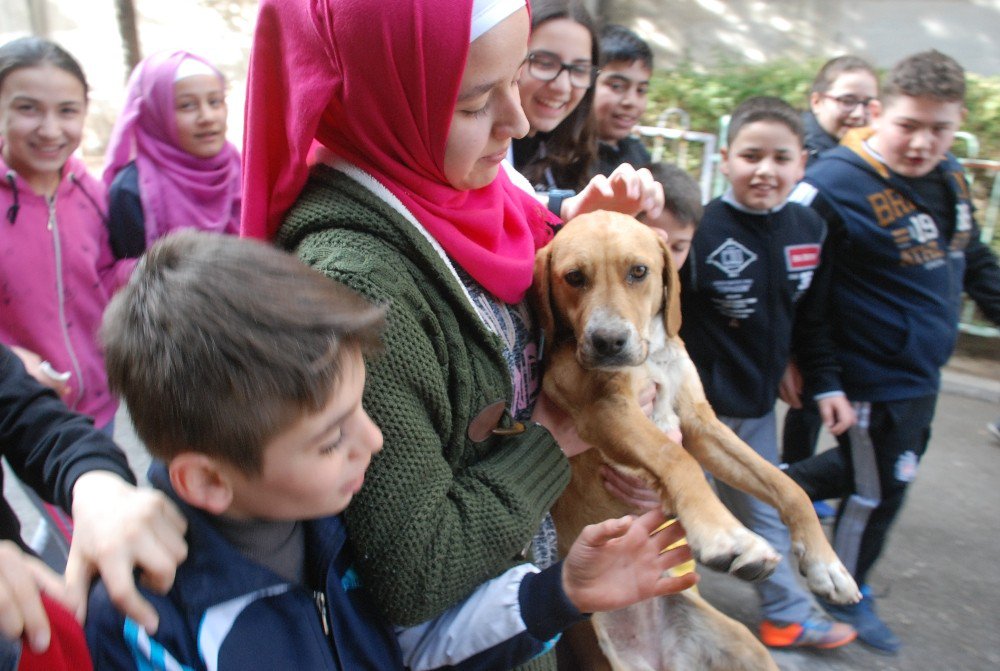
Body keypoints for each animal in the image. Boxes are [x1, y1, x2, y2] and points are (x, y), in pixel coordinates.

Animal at [532, 213, 860, 671]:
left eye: (639, 271)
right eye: (574, 277)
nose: (608, 342)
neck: (650, 357)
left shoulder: (700, 425)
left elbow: (789, 488)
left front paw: (826, 566)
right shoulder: (606, 410)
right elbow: (675, 458)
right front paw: (727, 535)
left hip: (746, 648)